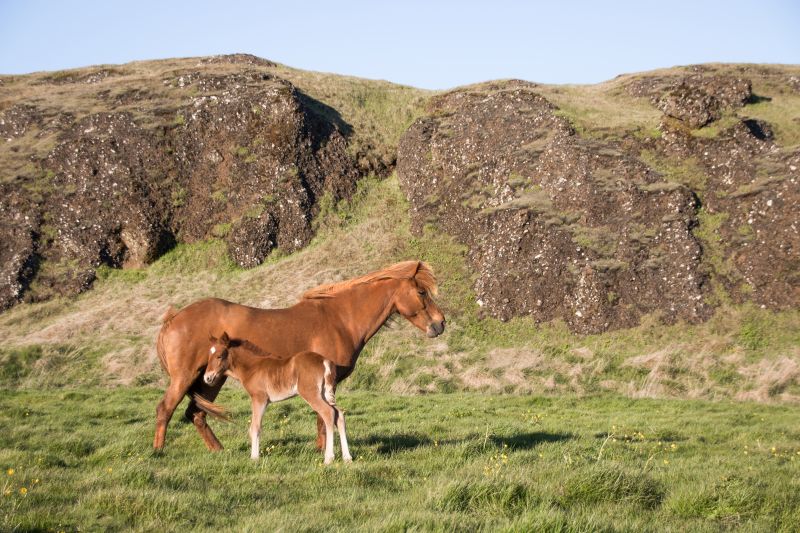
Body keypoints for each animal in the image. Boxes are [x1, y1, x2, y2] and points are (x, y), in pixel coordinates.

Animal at [153, 260, 446, 450]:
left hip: (211, 379)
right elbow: (324, 417)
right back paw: (159, 452)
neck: (340, 319)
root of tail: (174, 318)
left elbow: (326, 416)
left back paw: (219, 451)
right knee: (166, 409)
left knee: (196, 414)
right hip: (187, 377)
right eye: (421, 292)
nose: (440, 324)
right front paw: (324, 451)